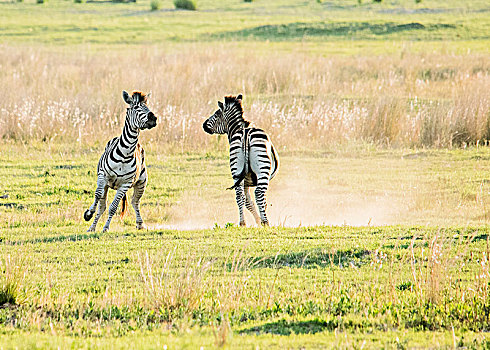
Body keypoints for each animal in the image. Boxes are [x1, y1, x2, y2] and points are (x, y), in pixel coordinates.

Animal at [83, 90, 157, 232]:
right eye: (136, 107)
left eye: (147, 107)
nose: (153, 118)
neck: (125, 153)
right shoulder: (103, 176)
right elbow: (97, 195)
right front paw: (88, 214)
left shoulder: (125, 185)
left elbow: (113, 207)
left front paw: (106, 228)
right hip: (106, 184)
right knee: (102, 206)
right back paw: (92, 227)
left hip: (142, 182)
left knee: (135, 202)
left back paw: (140, 223)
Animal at [203, 94, 280, 226]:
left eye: (216, 114)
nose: (203, 125)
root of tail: (245, 134)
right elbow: (262, 201)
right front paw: (260, 220)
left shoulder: (245, 181)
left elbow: (248, 202)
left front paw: (257, 220)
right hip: (262, 170)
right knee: (259, 193)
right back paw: (265, 222)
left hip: (236, 169)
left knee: (239, 195)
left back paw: (243, 222)